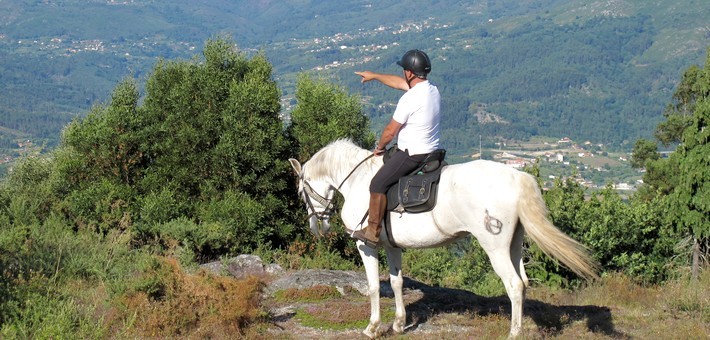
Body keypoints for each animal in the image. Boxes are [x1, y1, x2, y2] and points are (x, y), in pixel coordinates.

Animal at [290, 139, 600, 338]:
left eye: (301, 191)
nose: (317, 227)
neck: (358, 181)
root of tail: (517, 176)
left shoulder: (366, 244)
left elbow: (374, 286)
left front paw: (373, 327)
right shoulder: (392, 246)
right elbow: (397, 282)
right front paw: (399, 324)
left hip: (494, 246)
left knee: (513, 285)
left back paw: (514, 333)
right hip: (514, 244)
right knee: (523, 283)